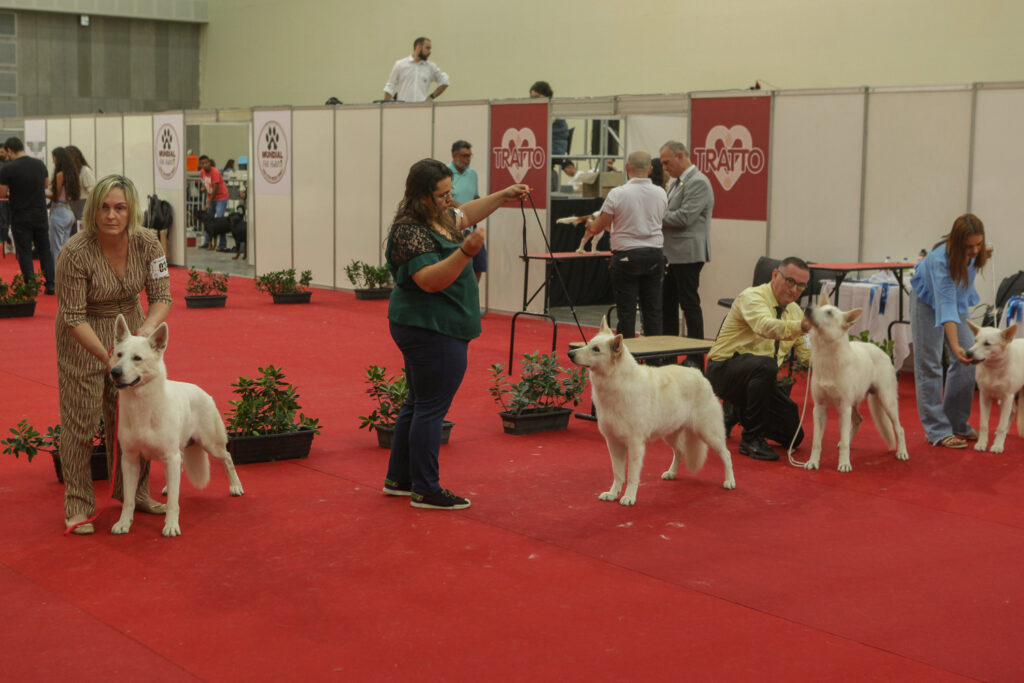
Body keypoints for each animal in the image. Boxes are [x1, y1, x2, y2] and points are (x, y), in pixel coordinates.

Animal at [109, 317, 242, 540]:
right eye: (118, 355)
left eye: (137, 358)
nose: (115, 372)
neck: (142, 407)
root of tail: (203, 392)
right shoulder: (130, 459)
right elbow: (128, 499)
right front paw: (123, 523)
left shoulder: (169, 456)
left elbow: (173, 502)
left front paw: (171, 526)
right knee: (180, 467)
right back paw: (167, 487)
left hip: (211, 444)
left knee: (228, 458)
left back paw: (235, 486)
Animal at [569, 317, 737, 505]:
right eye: (588, 344)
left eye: (596, 349)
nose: (570, 354)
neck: (617, 382)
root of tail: (700, 375)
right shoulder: (613, 443)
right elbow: (618, 474)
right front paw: (612, 494)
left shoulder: (635, 444)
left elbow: (632, 475)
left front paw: (629, 497)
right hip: (670, 434)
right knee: (680, 451)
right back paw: (671, 473)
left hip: (709, 433)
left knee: (726, 454)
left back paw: (730, 481)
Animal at [802, 296, 909, 473]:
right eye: (818, 307)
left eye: (829, 313)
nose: (807, 309)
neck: (827, 356)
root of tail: (883, 352)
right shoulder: (819, 408)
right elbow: (816, 442)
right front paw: (812, 462)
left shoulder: (844, 407)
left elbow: (845, 442)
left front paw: (844, 464)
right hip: (853, 404)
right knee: (858, 420)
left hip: (887, 402)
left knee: (899, 429)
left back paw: (902, 453)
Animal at [966, 321, 1024, 454]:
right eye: (975, 340)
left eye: (987, 344)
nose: (968, 353)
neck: (994, 368)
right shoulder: (984, 396)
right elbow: (984, 424)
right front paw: (981, 444)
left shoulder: (1007, 397)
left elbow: (1001, 425)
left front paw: (997, 446)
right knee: (1012, 412)